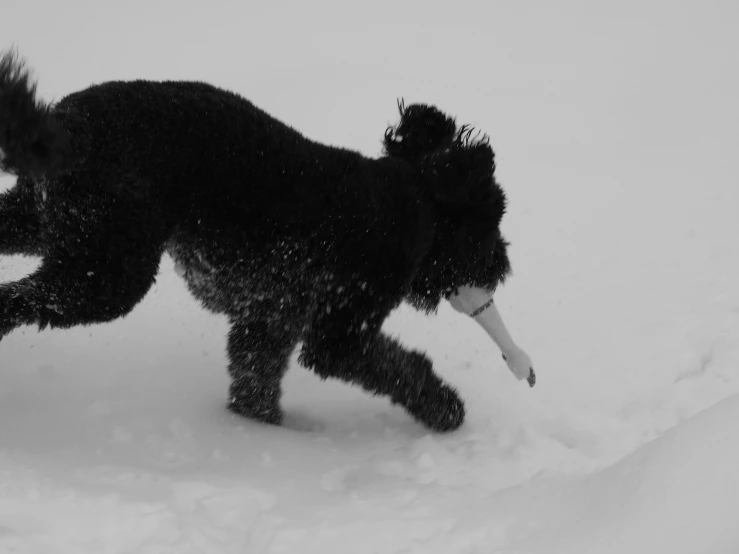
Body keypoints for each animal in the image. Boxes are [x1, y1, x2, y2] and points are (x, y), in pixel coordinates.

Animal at [0, 50, 508, 432]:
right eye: (492, 223)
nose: (502, 269)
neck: (409, 201)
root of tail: (65, 126)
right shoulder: (339, 330)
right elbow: (402, 367)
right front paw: (446, 408)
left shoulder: (266, 319)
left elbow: (254, 384)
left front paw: (258, 432)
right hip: (108, 270)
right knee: (18, 300)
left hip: (44, 223)